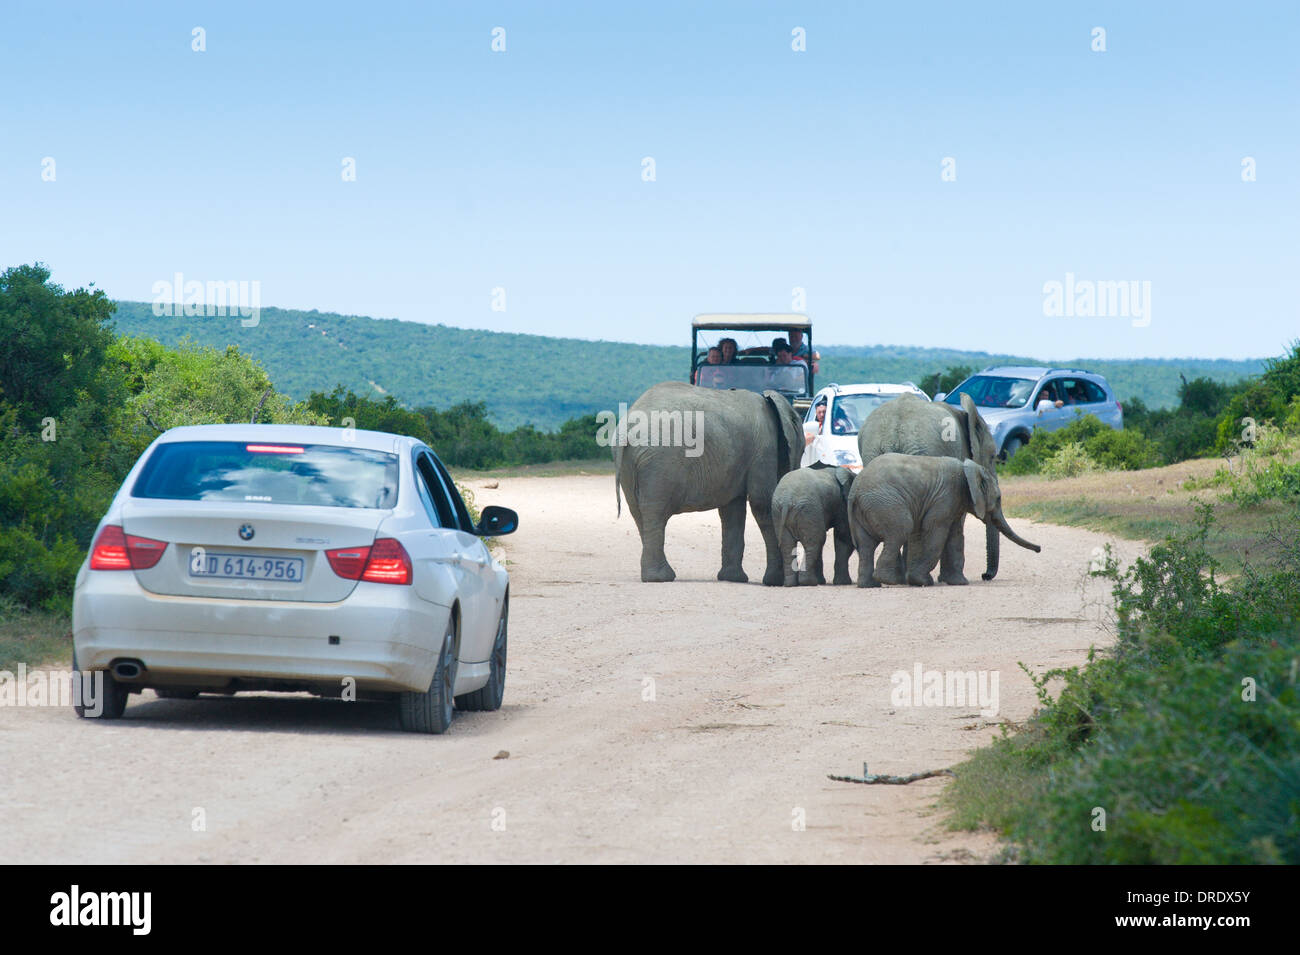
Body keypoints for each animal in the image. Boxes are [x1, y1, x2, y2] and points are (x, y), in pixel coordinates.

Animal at [611, 382, 800, 582]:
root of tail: (627, 426)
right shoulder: (764, 448)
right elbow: (761, 503)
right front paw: (774, 582)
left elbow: (732, 511)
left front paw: (733, 579)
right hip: (658, 462)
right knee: (655, 511)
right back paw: (661, 578)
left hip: (631, 463)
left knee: (639, 513)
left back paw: (657, 576)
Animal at [847, 454, 1040, 587]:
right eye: (999, 498)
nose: (1039, 549)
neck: (969, 469)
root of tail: (855, 488)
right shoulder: (947, 495)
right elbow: (935, 533)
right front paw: (923, 582)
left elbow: (954, 536)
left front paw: (960, 583)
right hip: (885, 504)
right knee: (899, 532)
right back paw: (889, 580)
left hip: (865, 510)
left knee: (866, 545)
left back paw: (870, 585)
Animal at [863, 392, 1003, 579]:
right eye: (993, 457)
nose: (984, 575)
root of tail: (894, 432)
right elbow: (957, 518)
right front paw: (952, 579)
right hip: (924, 448)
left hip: (874, 454)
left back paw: (899, 576)